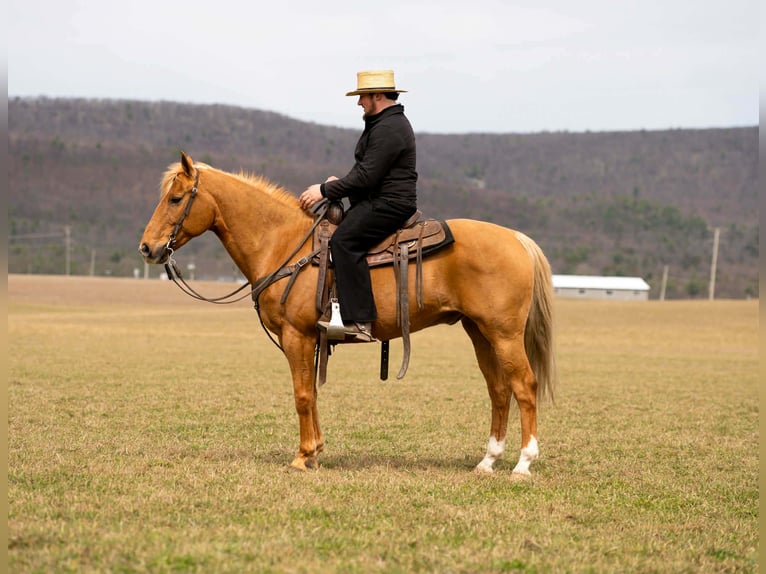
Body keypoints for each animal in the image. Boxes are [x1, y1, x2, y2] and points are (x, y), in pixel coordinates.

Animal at [139, 151, 556, 476]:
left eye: (176, 198)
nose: (147, 248)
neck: (284, 244)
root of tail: (517, 239)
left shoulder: (297, 335)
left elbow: (301, 394)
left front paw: (303, 456)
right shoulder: (311, 340)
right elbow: (311, 393)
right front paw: (316, 451)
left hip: (504, 334)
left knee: (524, 385)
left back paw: (523, 463)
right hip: (480, 332)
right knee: (499, 389)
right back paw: (488, 461)